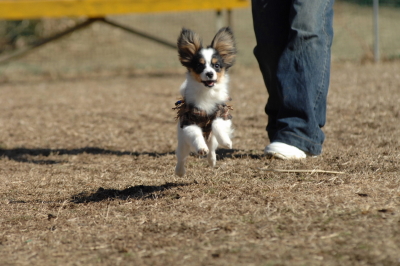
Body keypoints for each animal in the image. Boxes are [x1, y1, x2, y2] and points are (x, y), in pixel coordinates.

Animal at [173, 27, 236, 177]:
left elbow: (216, 124)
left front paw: (226, 141)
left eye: (217, 65)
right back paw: (180, 171)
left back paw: (212, 160)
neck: (207, 92)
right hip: (183, 142)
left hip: (211, 139)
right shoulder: (189, 122)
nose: (209, 74)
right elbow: (196, 135)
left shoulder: (223, 114)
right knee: (181, 157)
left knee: (212, 148)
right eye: (199, 66)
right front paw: (201, 148)